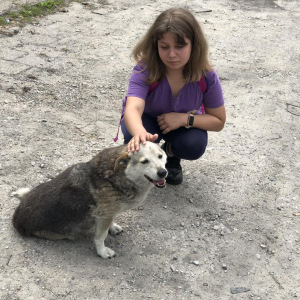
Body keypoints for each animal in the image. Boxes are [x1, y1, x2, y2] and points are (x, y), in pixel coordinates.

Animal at [12, 142, 168, 258]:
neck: (117, 176)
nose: (163, 172)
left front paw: (113, 227)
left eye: (160, 156)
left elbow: (110, 222)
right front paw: (102, 252)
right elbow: (100, 237)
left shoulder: (108, 214)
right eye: (144, 161)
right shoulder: (104, 216)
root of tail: (17, 219)